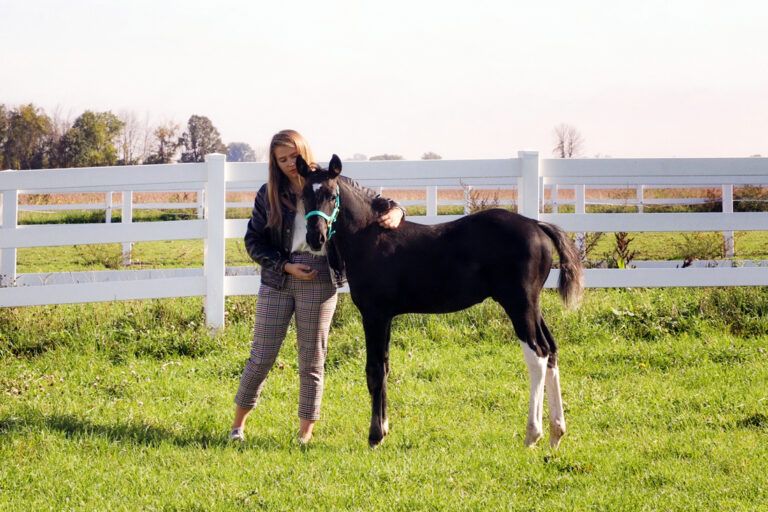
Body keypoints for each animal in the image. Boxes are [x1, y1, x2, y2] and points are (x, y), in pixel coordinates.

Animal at [297, 154, 584, 448]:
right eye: (304, 194)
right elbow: (385, 367)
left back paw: (533, 434)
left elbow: (374, 371)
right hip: (532, 306)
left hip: (519, 304)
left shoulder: (374, 315)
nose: (315, 237)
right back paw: (556, 432)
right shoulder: (386, 317)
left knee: (537, 354)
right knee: (551, 350)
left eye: (332, 194)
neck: (369, 237)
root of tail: (537, 225)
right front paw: (384, 428)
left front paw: (375, 436)